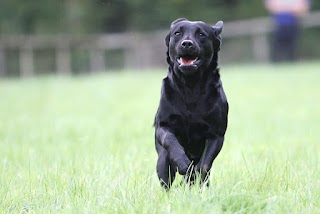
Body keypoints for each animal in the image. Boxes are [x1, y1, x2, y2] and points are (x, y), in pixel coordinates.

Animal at [154, 18, 228, 189]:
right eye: (177, 33)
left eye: (201, 34)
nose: (187, 43)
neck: (190, 87)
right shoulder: (163, 126)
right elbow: (170, 140)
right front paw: (182, 163)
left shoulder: (216, 135)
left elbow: (204, 166)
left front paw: (195, 177)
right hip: (161, 161)